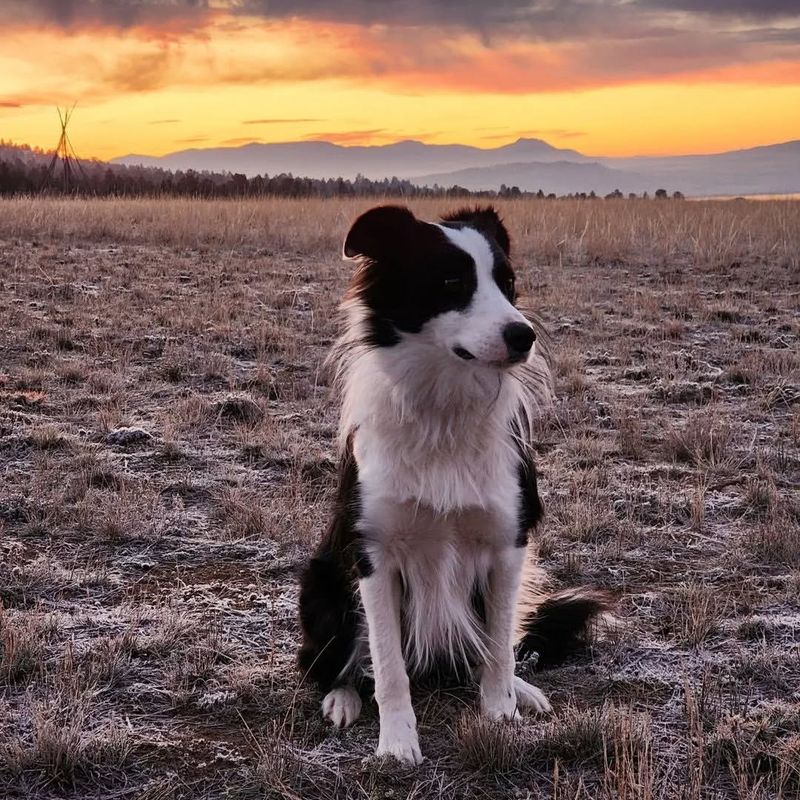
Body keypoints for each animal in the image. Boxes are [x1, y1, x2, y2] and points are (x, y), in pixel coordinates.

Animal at [296, 205, 608, 764]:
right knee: (330, 662)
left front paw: (502, 715)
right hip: (323, 579)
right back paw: (341, 698)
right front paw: (397, 742)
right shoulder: (374, 555)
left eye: (508, 283)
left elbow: (500, 648)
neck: (445, 411)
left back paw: (523, 691)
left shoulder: (508, 543)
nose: (523, 336)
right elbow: (389, 665)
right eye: (451, 283)